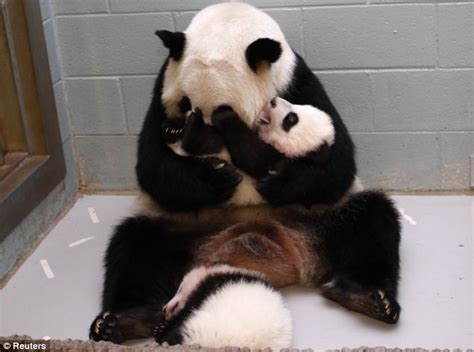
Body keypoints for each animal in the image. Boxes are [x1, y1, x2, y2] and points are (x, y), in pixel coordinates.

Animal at [89, 2, 400, 344]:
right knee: (135, 247)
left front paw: (273, 178)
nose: (193, 143)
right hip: (183, 226)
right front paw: (217, 177)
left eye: (222, 111)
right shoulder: (162, 87)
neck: (232, 18)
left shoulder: (297, 82)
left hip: (320, 217)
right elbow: (152, 166)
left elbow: (338, 163)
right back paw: (125, 319)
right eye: (184, 104)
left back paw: (367, 297)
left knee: (372, 221)